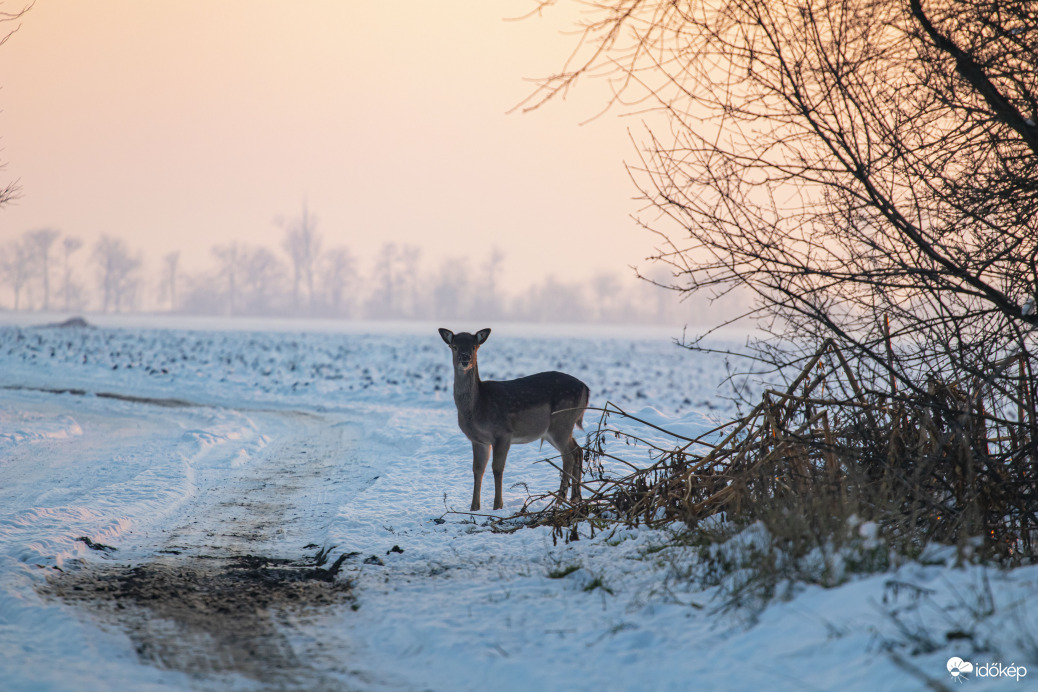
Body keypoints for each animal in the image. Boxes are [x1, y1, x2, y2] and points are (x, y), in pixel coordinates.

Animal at [438, 327, 593, 512]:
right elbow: (477, 470)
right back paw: (576, 498)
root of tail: (586, 388)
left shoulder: (502, 433)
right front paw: (474, 508)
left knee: (568, 456)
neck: (477, 406)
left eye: (474, 346)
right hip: (555, 429)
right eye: (454, 346)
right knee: (578, 450)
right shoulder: (478, 440)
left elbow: (497, 468)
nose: (465, 359)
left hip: (561, 423)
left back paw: (560, 500)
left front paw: (498, 506)